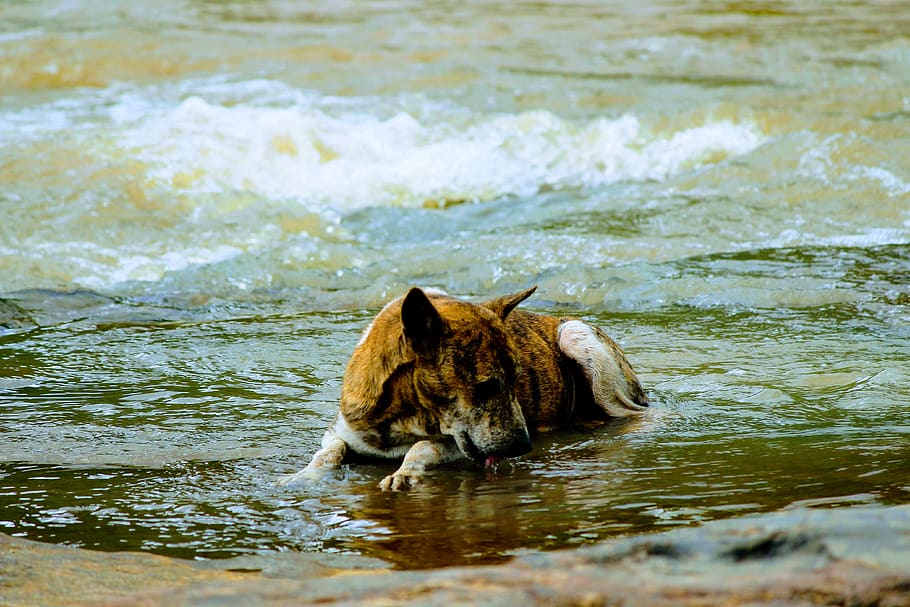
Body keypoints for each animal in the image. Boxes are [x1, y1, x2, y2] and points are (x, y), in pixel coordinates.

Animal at [282, 288, 652, 492]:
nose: (525, 447)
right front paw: (303, 476)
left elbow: (423, 446)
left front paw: (404, 473)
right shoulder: (343, 429)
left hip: (577, 337)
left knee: (632, 412)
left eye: (517, 379)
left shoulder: (456, 444)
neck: (402, 416)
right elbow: (328, 452)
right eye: (487, 386)